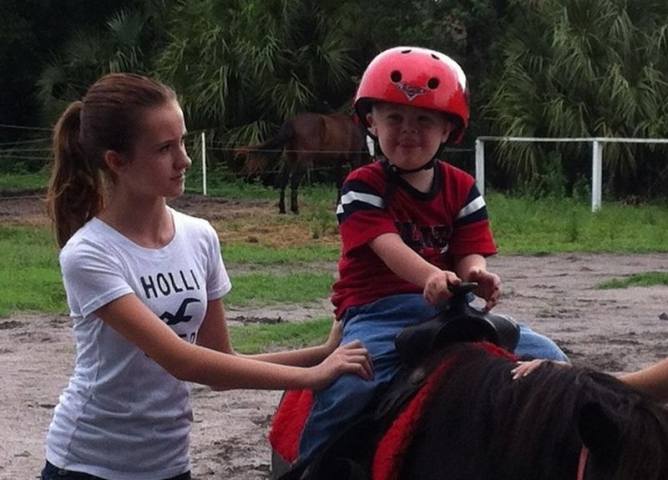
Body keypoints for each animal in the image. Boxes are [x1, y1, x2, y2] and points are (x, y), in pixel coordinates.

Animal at [236, 112, 370, 214]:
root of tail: (291, 124)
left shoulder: (337, 162)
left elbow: (339, 183)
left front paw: (339, 203)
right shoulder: (354, 158)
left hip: (290, 158)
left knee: (283, 180)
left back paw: (282, 209)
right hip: (304, 160)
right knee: (294, 181)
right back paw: (295, 209)